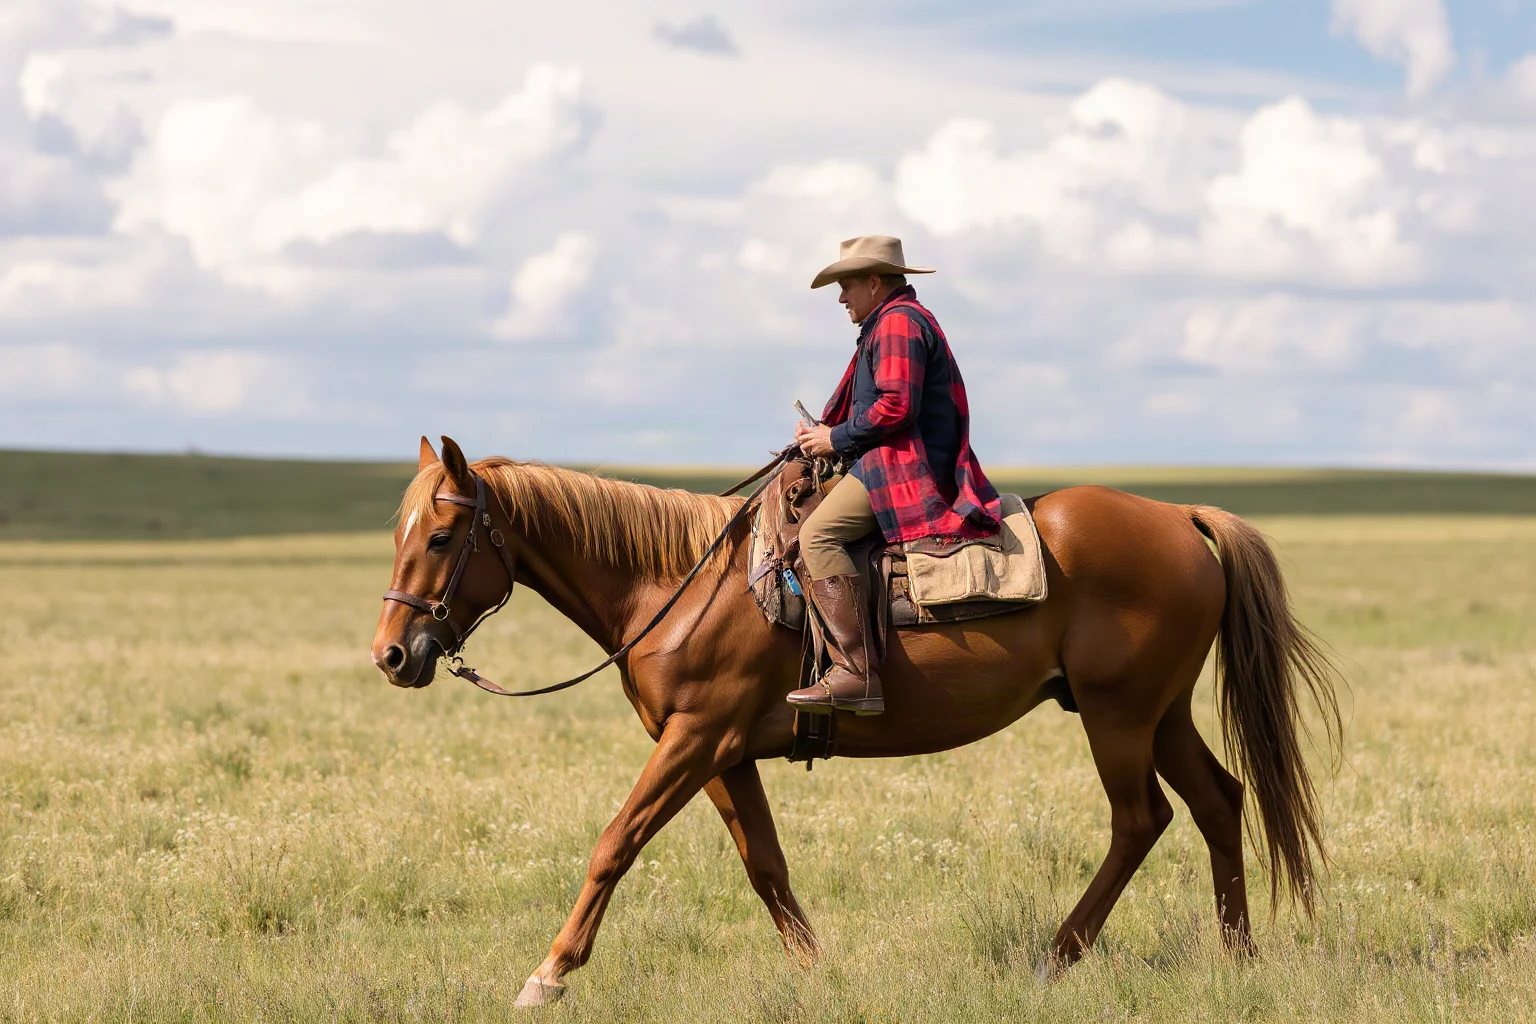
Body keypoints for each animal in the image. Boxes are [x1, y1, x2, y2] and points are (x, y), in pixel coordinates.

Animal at [370, 436, 1341, 1008]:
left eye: (445, 538)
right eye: (399, 532)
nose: (392, 654)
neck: (677, 580)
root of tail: (1179, 516)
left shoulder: (695, 739)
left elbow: (615, 842)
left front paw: (547, 975)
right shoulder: (724, 754)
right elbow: (765, 865)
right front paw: (817, 972)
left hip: (1120, 716)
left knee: (1142, 819)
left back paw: (1057, 956)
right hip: (1161, 713)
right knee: (1219, 801)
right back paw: (1238, 959)